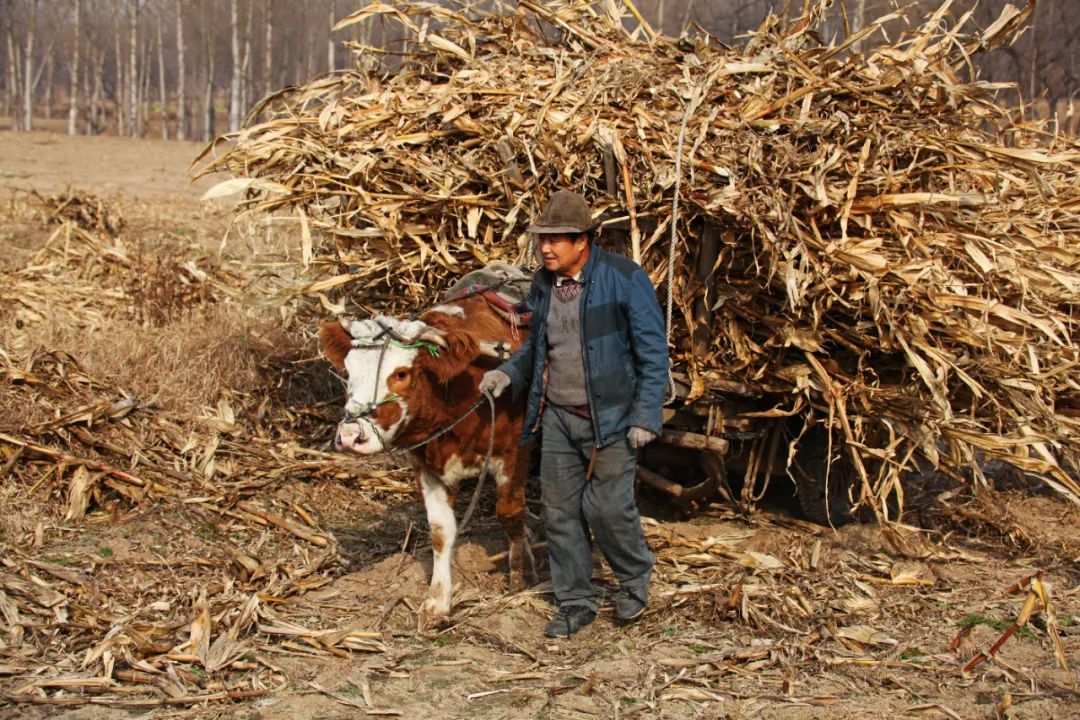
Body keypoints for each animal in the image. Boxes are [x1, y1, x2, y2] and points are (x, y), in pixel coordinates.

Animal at [319, 293, 540, 626]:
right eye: (348, 371)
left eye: (401, 373)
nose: (349, 436)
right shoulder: (426, 467)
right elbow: (440, 531)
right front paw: (438, 601)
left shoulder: (514, 451)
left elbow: (509, 513)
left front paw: (520, 578)